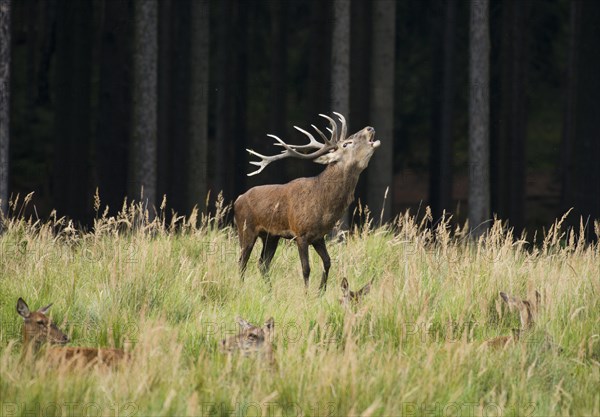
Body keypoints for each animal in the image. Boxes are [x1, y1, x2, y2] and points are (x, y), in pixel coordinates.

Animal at [234, 112, 380, 290]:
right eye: (347, 143)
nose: (369, 128)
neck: (324, 206)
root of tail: (237, 199)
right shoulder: (300, 234)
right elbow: (306, 268)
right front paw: (307, 293)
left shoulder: (319, 237)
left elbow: (328, 262)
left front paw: (321, 291)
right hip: (245, 229)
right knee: (242, 261)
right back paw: (241, 287)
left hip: (271, 236)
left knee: (262, 263)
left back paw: (269, 291)